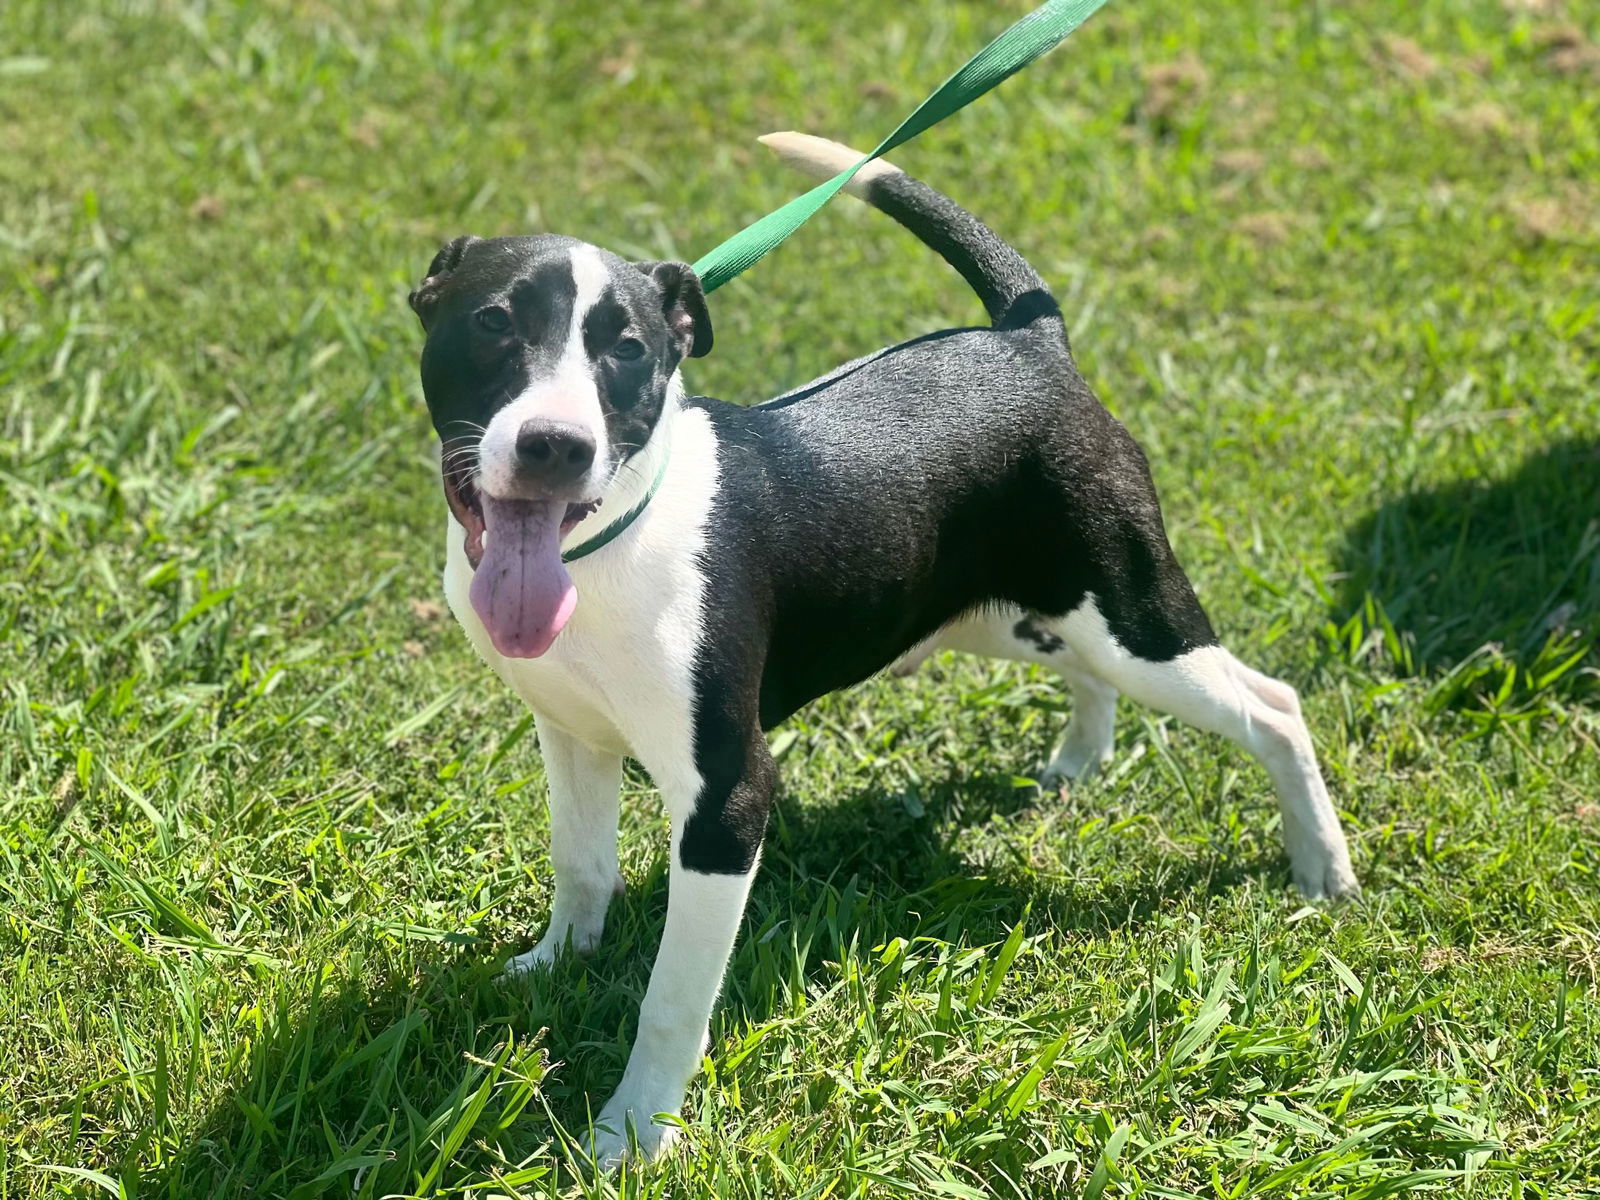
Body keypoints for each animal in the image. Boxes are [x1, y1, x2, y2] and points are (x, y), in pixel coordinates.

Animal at [406, 136, 1356, 1171]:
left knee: (1271, 704)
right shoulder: (569, 730)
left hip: (1133, 616)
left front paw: (632, 1134)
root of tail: (1029, 339)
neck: (609, 542)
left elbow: (671, 1002)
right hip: (1007, 612)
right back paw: (1077, 761)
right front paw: (552, 968)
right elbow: (580, 864)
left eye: (628, 352)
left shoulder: (727, 800)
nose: (557, 445)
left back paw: (1323, 867)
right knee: (1088, 668)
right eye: (493, 322)